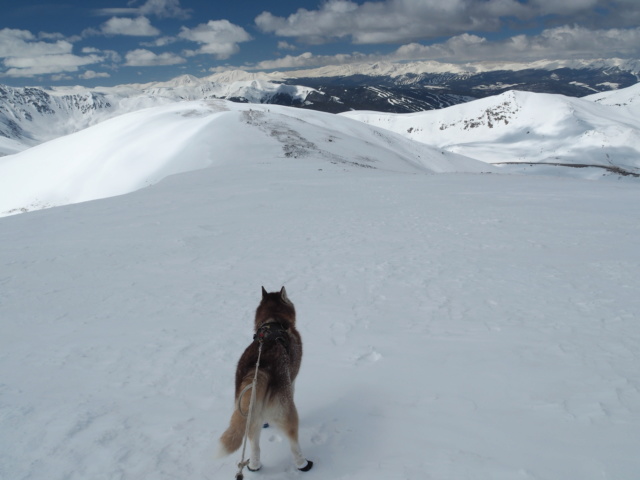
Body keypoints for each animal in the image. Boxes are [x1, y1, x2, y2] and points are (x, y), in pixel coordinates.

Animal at [218, 284, 312, 472]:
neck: (273, 321)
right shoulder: (292, 380)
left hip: (247, 413)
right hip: (285, 411)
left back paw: (254, 465)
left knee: (254, 444)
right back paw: (303, 464)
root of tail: (259, 369)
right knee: (293, 441)